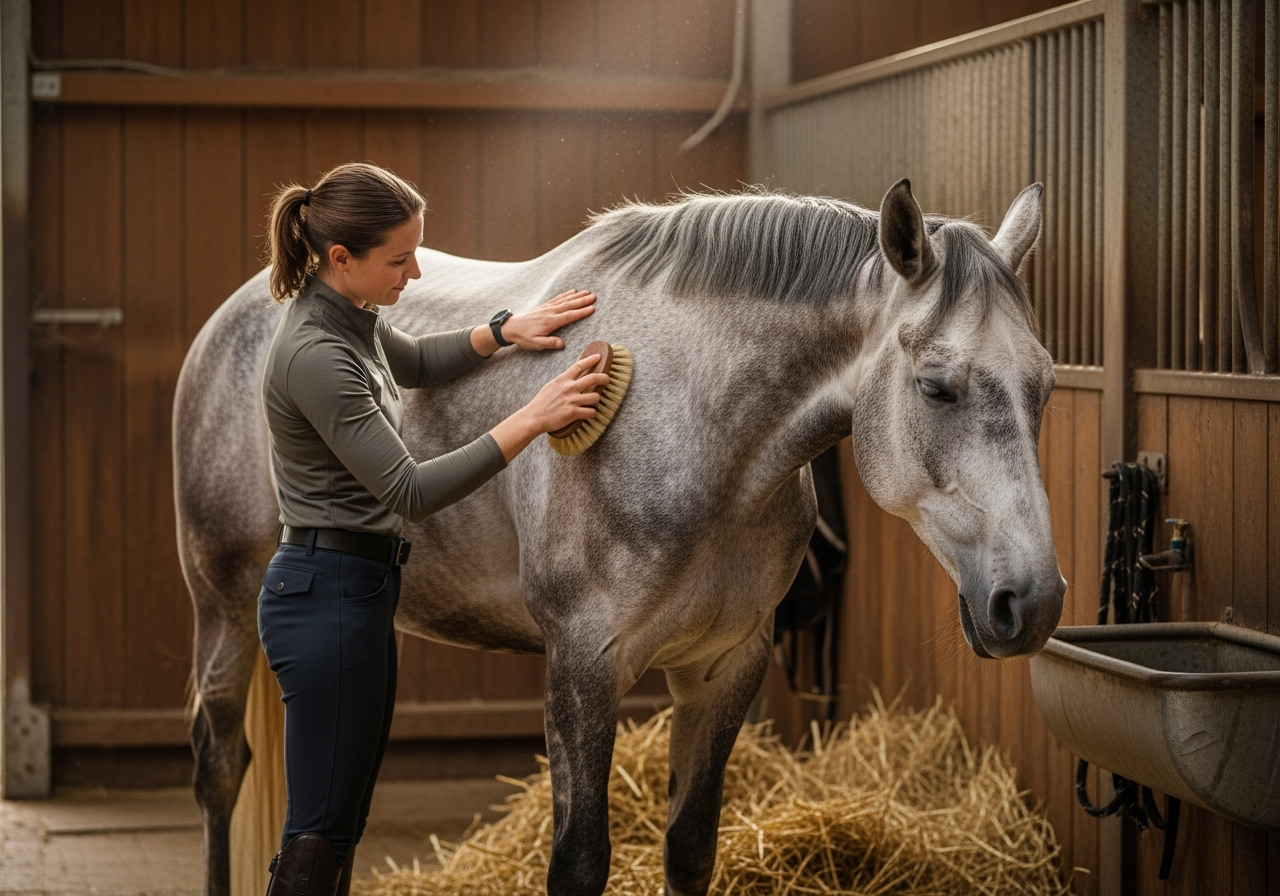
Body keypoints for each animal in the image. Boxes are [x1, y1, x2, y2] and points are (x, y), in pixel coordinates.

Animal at [175, 179, 1065, 896]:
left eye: (1047, 385)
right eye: (936, 387)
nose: (1034, 602)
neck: (693, 423)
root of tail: (247, 311)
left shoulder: (724, 667)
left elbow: (690, 849)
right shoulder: (583, 667)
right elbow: (578, 862)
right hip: (223, 601)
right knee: (220, 767)